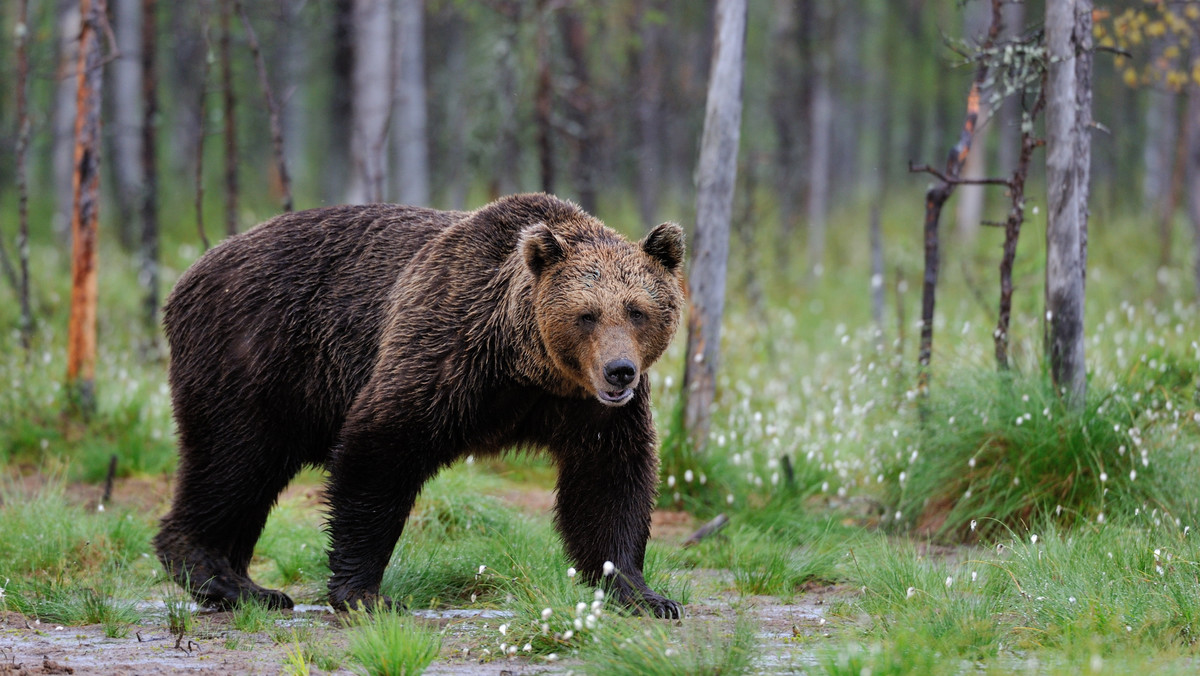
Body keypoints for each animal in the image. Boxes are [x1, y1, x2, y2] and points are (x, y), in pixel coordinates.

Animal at [154, 190, 686, 619]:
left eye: (637, 310)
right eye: (586, 314)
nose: (619, 371)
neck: (527, 366)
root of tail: (191, 271)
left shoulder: (586, 408)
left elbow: (609, 482)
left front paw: (643, 594)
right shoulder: (447, 350)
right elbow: (380, 449)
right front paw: (366, 594)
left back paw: (248, 585)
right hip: (254, 356)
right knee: (234, 461)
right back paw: (219, 576)